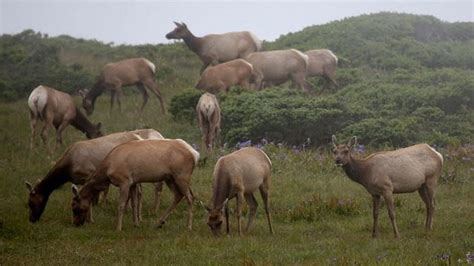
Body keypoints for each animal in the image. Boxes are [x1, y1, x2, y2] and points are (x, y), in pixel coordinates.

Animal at [25, 129, 164, 222]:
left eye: (31, 203)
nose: (32, 219)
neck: (68, 168)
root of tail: (140, 138)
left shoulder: (89, 173)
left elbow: (90, 198)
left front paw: (90, 220)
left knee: (142, 191)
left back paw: (140, 216)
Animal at [71, 138, 199, 232]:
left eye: (76, 207)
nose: (76, 224)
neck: (107, 172)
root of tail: (194, 155)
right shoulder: (133, 183)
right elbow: (134, 203)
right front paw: (136, 223)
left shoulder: (124, 181)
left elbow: (121, 205)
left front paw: (118, 228)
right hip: (170, 178)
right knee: (178, 195)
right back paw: (160, 222)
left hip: (182, 175)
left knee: (190, 197)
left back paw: (188, 226)